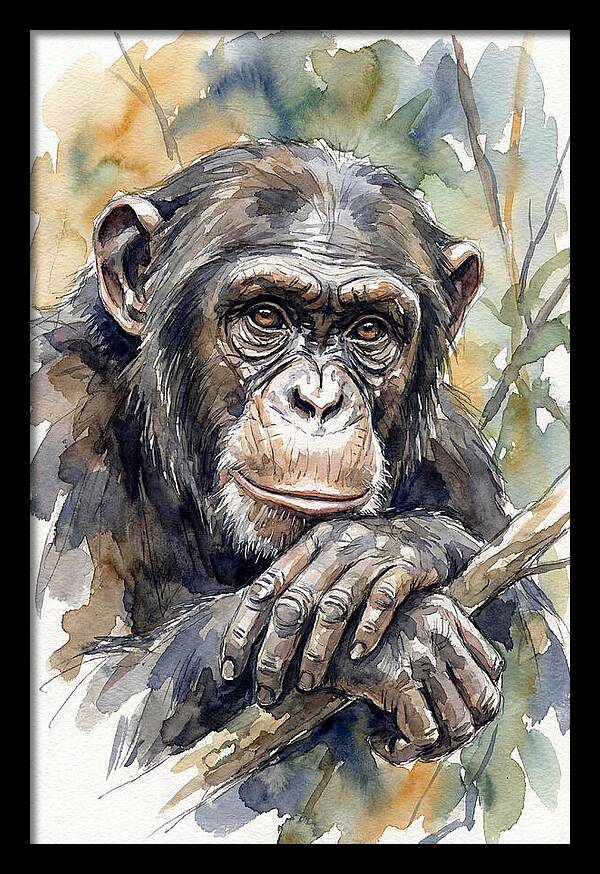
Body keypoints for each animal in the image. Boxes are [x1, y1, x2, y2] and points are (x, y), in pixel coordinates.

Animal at [31, 139, 565, 773]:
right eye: (266, 316)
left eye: (369, 329)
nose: (319, 400)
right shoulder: (55, 419)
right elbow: (80, 702)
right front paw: (407, 640)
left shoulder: (458, 459)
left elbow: (543, 653)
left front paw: (385, 548)